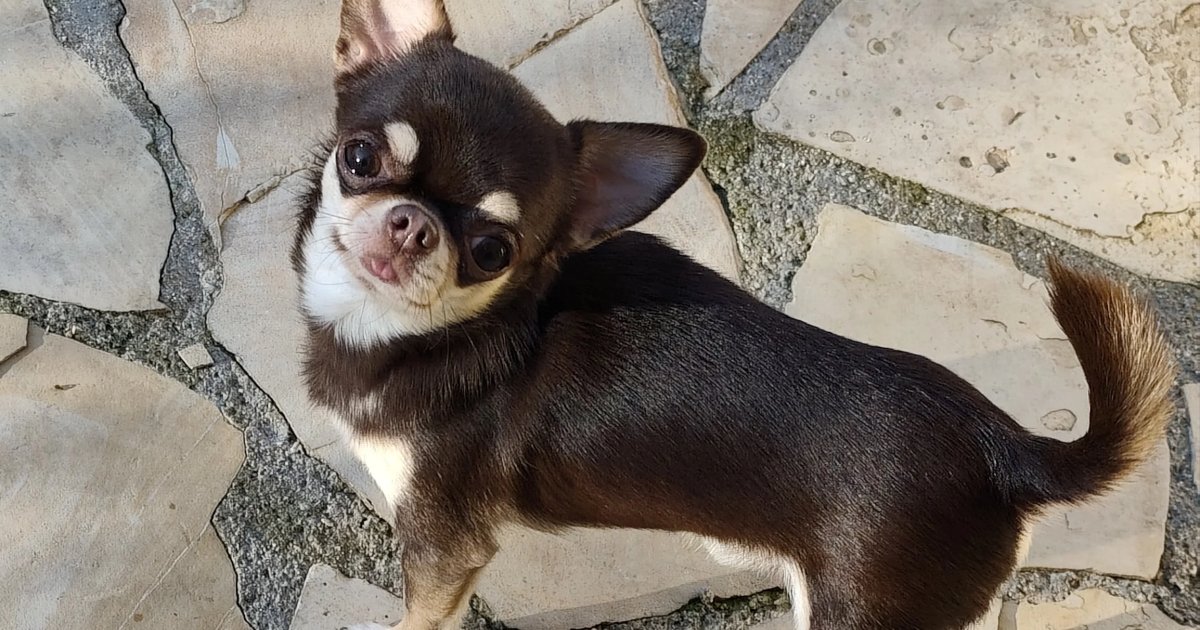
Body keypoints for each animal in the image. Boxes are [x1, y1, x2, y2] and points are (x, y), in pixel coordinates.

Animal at [290, 1, 1177, 627]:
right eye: (360, 157)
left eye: (491, 250)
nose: (414, 224)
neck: (437, 333)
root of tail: (1008, 448)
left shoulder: (444, 546)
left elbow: (419, 617)